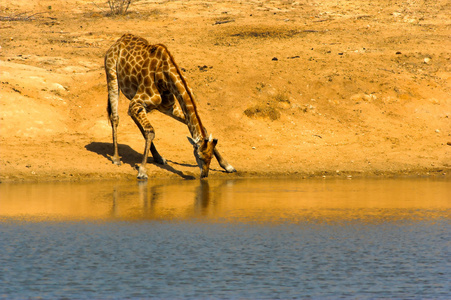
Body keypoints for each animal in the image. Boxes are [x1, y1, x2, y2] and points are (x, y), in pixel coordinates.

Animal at [103, 33, 235, 178]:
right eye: (199, 156)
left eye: (210, 157)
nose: (204, 175)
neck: (164, 76)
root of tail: (117, 42)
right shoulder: (137, 102)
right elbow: (150, 131)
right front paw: (142, 171)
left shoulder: (168, 107)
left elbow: (203, 129)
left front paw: (228, 166)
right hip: (112, 76)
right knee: (115, 117)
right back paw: (116, 158)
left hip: (139, 103)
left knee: (134, 119)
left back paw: (159, 158)